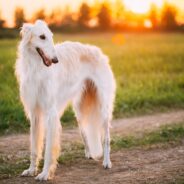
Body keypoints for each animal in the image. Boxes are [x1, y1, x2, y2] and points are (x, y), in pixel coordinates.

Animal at [16, 19, 116, 180]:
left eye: (51, 36)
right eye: (42, 37)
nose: (55, 60)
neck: (37, 69)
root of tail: (98, 52)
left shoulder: (51, 114)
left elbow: (49, 149)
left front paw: (44, 174)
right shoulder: (35, 113)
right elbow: (34, 147)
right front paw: (31, 170)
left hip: (103, 108)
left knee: (106, 138)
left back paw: (107, 162)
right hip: (80, 110)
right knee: (84, 132)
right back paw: (89, 153)